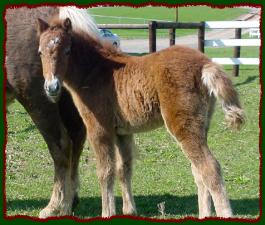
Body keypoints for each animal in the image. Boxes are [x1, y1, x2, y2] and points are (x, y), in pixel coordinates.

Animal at [36, 17, 243, 218]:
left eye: (67, 51)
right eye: (40, 53)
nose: (51, 87)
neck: (94, 71)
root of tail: (205, 64)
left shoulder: (99, 128)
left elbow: (105, 171)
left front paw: (107, 212)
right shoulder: (122, 132)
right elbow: (124, 169)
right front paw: (129, 210)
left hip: (183, 126)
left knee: (210, 168)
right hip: (202, 126)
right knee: (198, 171)